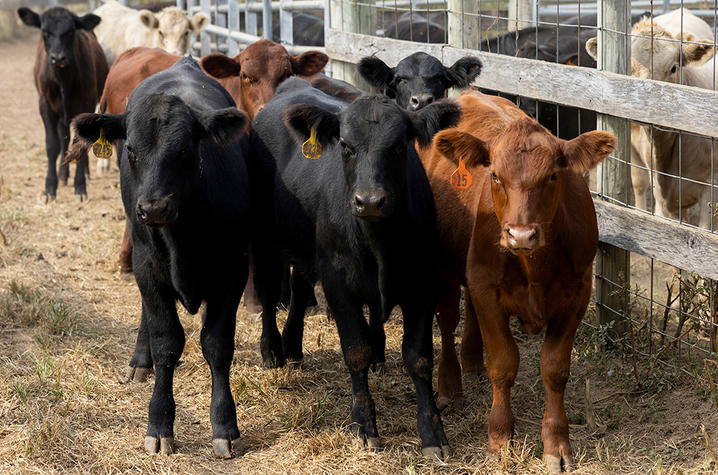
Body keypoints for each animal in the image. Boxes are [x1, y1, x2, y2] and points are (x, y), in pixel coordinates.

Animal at [17, 6, 108, 203]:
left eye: (71, 32)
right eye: (45, 32)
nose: (58, 58)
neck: (63, 80)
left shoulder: (86, 103)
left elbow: (79, 143)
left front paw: (80, 187)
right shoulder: (45, 106)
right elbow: (52, 145)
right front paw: (49, 189)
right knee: (63, 138)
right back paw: (63, 174)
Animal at [71, 57, 250, 458]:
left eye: (184, 151)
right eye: (131, 151)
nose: (153, 207)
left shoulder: (233, 270)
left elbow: (217, 344)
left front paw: (224, 424)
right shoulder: (148, 267)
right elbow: (166, 341)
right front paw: (159, 423)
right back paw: (141, 360)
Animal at [249, 77, 460, 456]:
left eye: (399, 146)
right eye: (345, 146)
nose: (370, 201)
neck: (380, 242)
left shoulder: (423, 284)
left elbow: (419, 358)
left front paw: (433, 432)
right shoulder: (338, 285)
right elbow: (356, 351)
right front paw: (364, 423)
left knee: (300, 287)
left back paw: (294, 346)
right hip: (262, 239)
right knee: (269, 291)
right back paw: (272, 350)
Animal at [418, 90, 615, 472]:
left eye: (553, 175)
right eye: (494, 175)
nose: (521, 234)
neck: (534, 265)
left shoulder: (577, 293)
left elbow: (554, 369)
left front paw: (556, 444)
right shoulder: (485, 288)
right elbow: (503, 364)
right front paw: (499, 438)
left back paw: (471, 362)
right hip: (441, 268)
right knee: (447, 322)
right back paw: (451, 385)